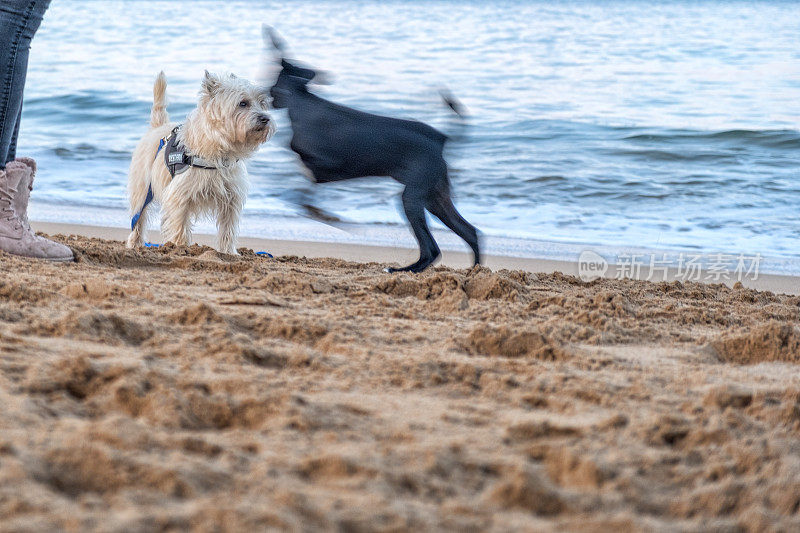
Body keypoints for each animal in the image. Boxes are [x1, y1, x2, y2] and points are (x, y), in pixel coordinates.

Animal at [125, 70, 274, 254]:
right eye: (243, 103)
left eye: (262, 103)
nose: (265, 118)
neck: (218, 151)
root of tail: (157, 127)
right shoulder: (179, 196)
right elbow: (180, 225)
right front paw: (181, 246)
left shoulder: (231, 199)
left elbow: (228, 229)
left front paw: (228, 252)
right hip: (142, 190)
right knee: (138, 218)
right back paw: (135, 243)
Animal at [264, 26, 482, 272]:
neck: (299, 101)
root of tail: (441, 140)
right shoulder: (320, 171)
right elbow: (301, 195)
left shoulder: (326, 167)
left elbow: (299, 195)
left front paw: (322, 214)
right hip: (434, 197)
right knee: (470, 232)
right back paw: (474, 271)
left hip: (413, 197)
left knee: (432, 248)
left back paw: (404, 270)